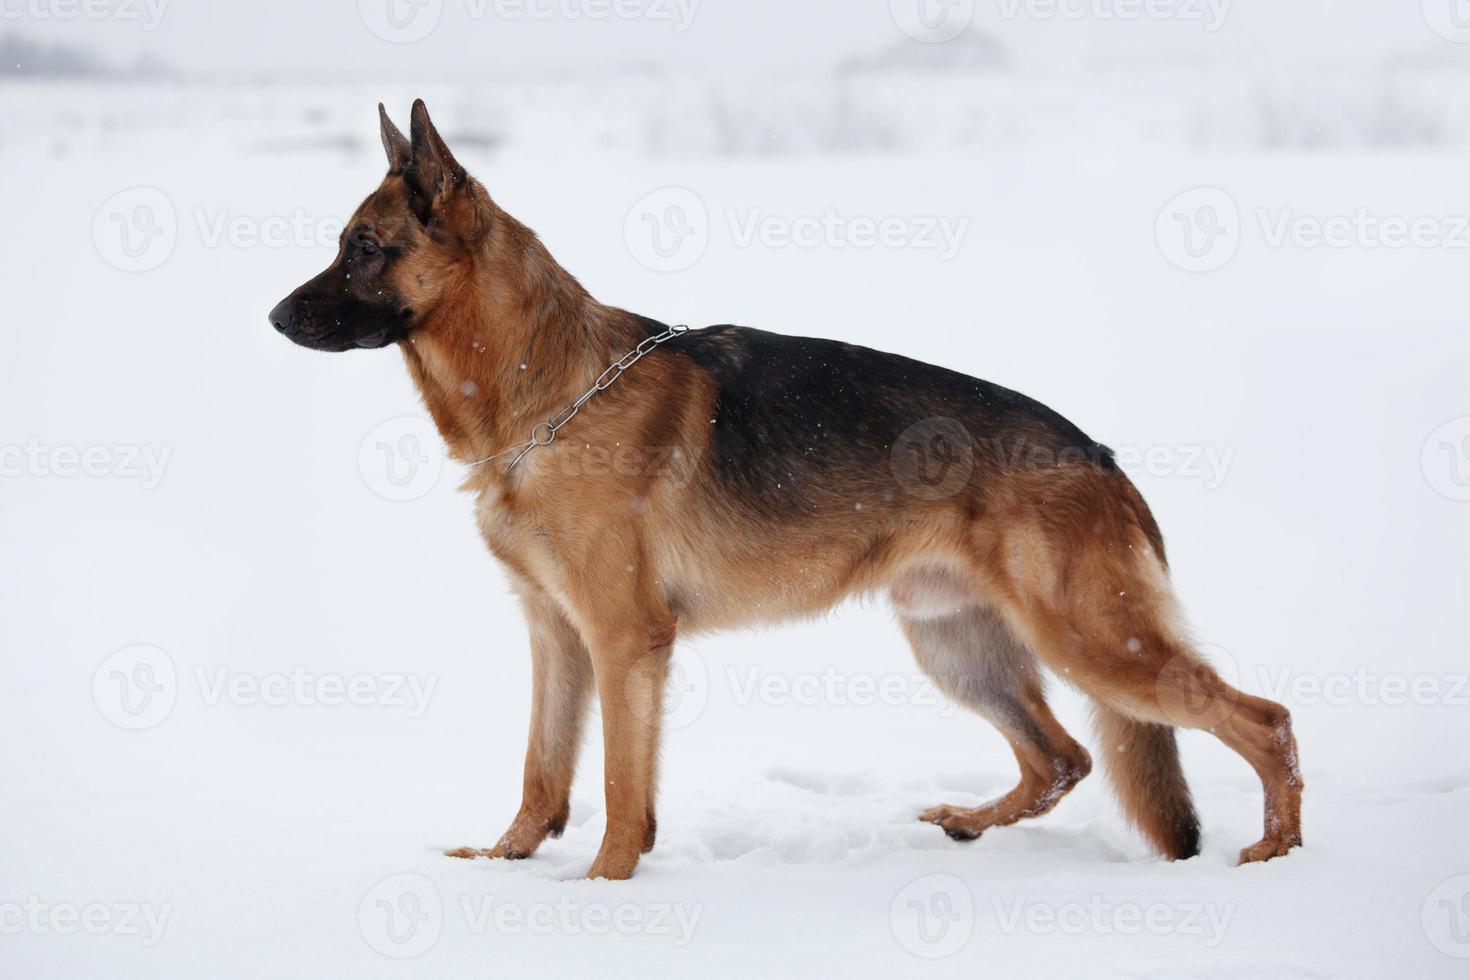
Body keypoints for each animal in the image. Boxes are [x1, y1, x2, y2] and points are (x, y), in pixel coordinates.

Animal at [270, 101, 1305, 881]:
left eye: (364, 249)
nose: (275, 316)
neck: (548, 391)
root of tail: (1101, 455)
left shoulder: (624, 641)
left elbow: (618, 788)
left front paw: (604, 890)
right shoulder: (556, 634)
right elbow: (541, 772)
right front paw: (503, 865)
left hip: (1091, 642)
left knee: (1266, 721)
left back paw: (1277, 852)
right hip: (958, 648)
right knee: (1066, 757)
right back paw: (972, 823)